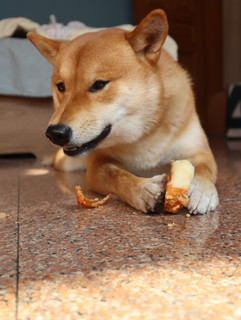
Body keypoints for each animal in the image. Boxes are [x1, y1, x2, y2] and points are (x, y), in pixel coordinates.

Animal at [27, 9, 218, 215]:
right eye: (61, 86)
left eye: (99, 84)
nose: (55, 133)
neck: (143, 135)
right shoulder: (97, 166)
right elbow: (117, 175)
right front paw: (143, 189)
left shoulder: (199, 151)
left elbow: (204, 169)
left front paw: (202, 190)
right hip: (66, 164)